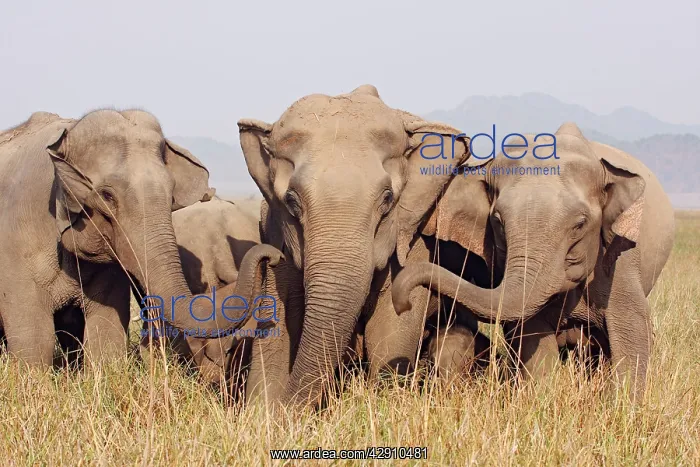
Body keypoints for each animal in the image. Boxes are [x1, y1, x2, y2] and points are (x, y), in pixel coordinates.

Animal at [0, 110, 281, 368]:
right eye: (107, 196)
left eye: (171, 193)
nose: (275, 256)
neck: (68, 132)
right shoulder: (17, 240)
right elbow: (34, 338)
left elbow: (106, 331)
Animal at [237, 84, 491, 408]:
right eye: (292, 200)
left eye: (387, 198)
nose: (267, 258)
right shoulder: (274, 226)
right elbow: (277, 330)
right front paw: (266, 413)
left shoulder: (411, 233)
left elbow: (390, 329)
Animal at [392, 122, 675, 399]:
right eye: (498, 221)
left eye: (580, 225)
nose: (402, 303)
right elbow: (531, 332)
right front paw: (541, 399)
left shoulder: (618, 258)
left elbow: (631, 329)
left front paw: (621, 406)